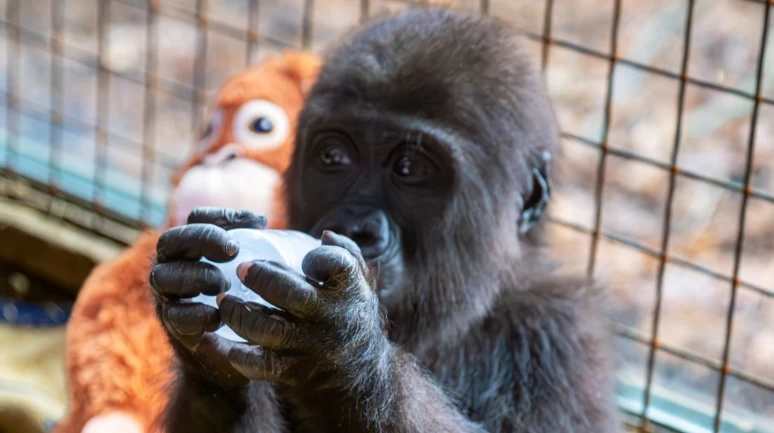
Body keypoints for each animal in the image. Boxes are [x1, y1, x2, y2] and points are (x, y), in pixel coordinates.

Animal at [149, 6, 620, 432]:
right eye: (333, 157)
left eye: (409, 169)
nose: (355, 228)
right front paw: (204, 359)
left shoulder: (559, 337)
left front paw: (342, 351)